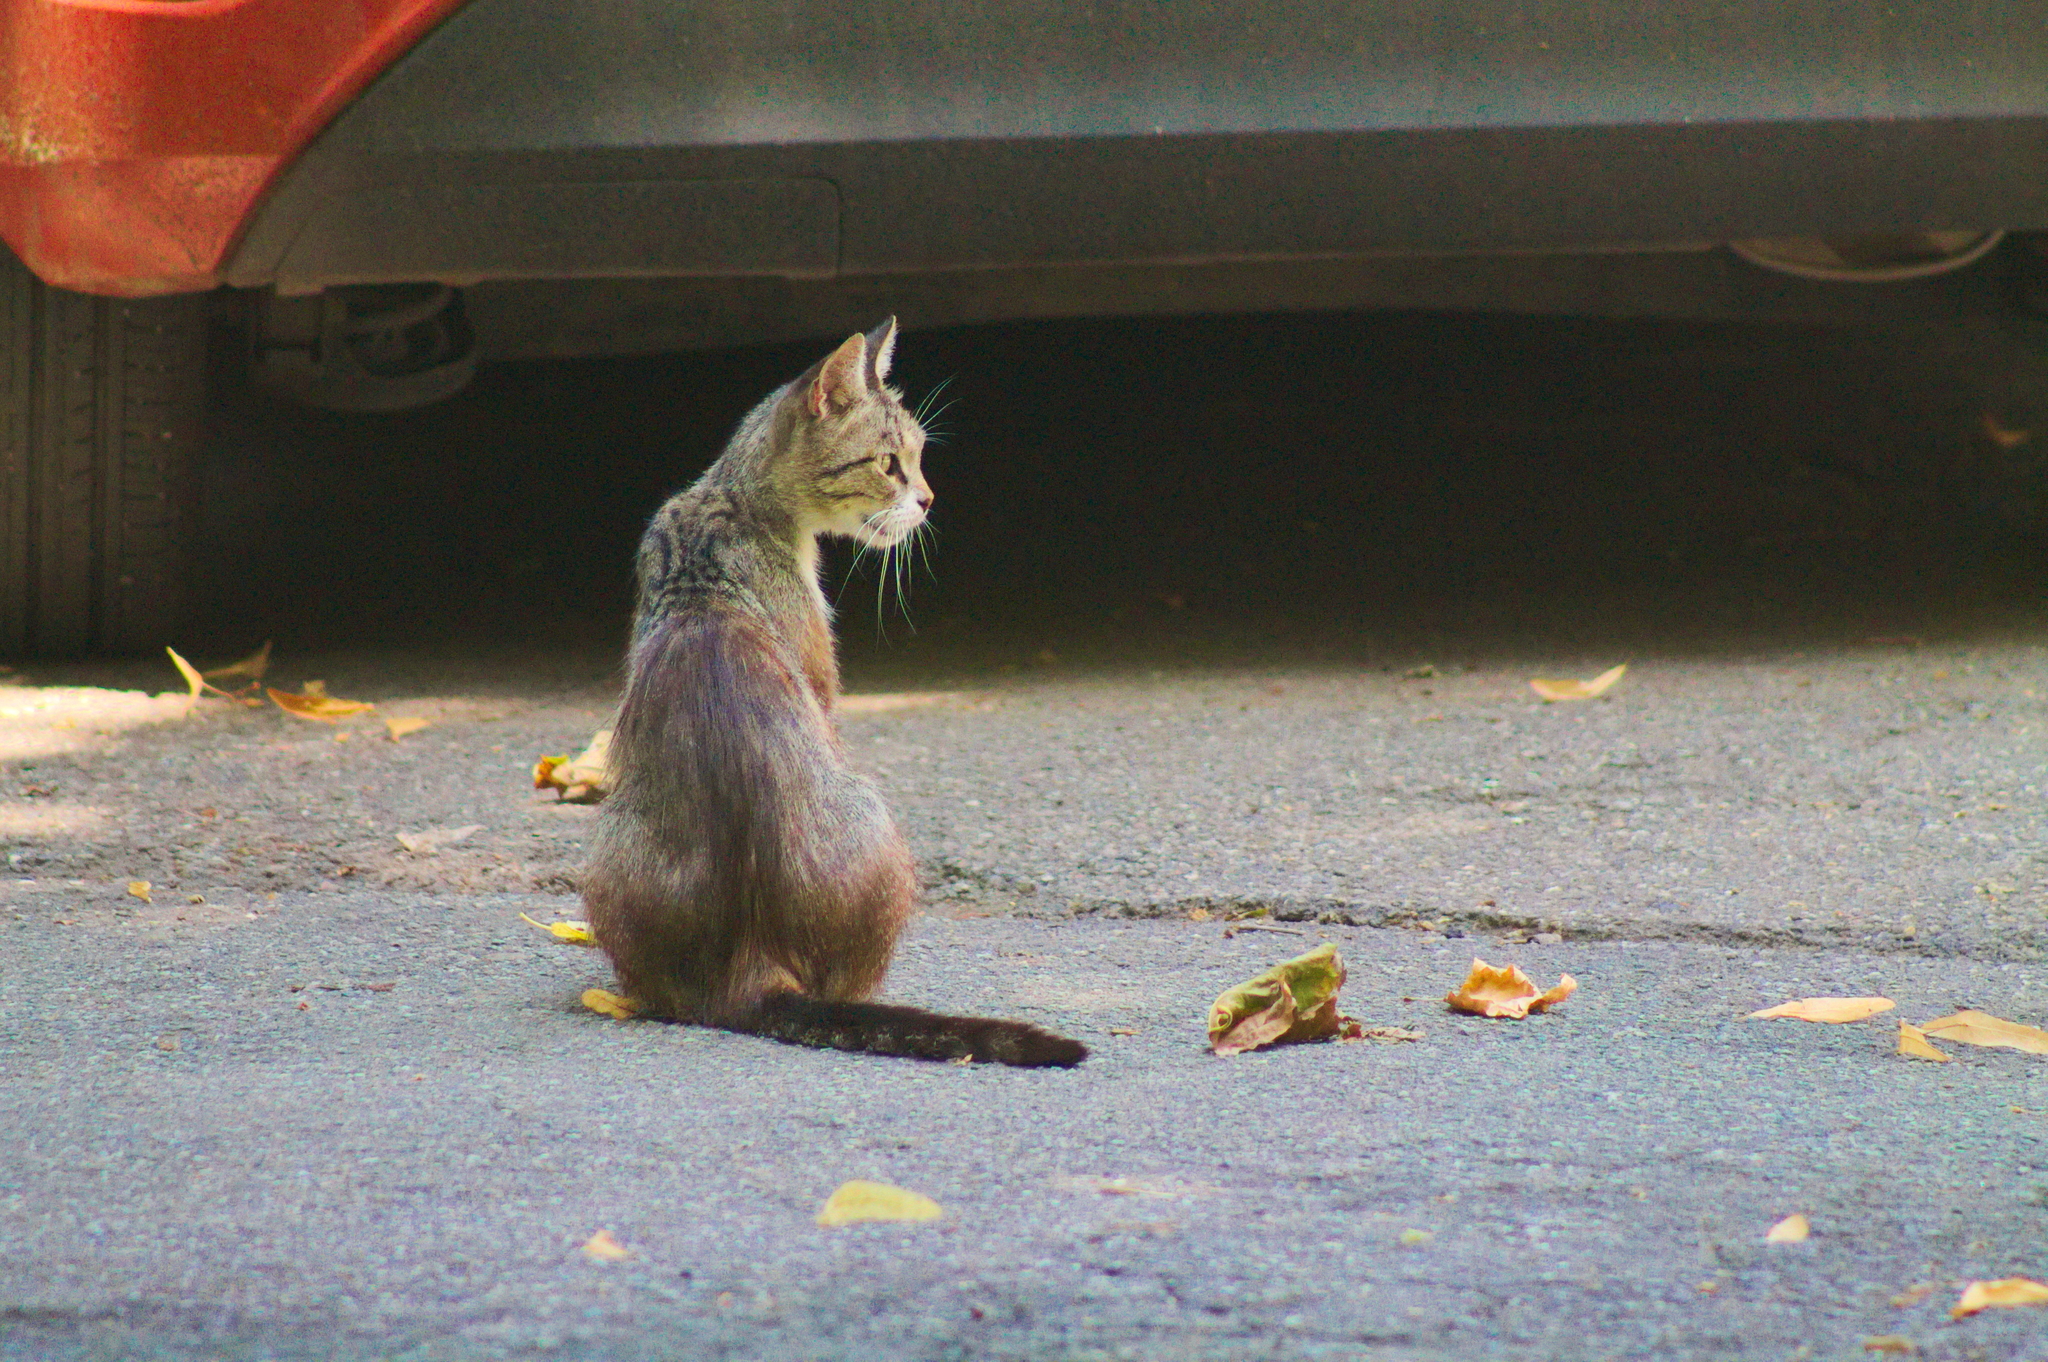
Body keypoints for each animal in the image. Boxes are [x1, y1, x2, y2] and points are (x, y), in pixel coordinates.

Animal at [581, 319, 1089, 1065]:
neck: (727, 502)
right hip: (877, 822)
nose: (929, 499)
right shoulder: (821, 683)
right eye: (890, 464)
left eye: (920, 456)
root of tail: (750, 964)